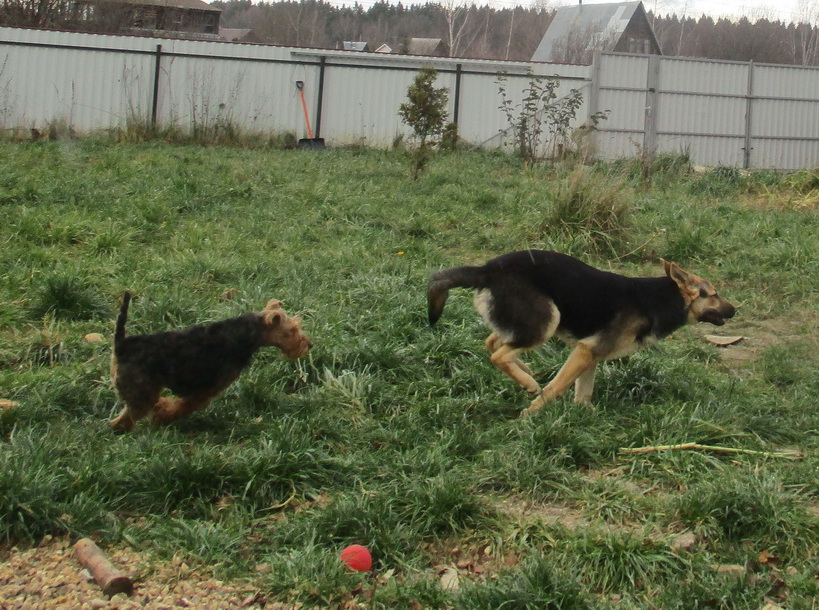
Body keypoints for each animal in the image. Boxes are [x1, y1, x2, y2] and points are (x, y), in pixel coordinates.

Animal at [109, 292, 312, 433]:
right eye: (292, 330)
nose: (309, 345)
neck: (244, 334)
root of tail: (122, 345)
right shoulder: (206, 390)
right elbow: (180, 407)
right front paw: (162, 417)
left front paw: (161, 411)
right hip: (141, 394)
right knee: (120, 421)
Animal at [428, 250, 735, 416]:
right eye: (714, 295)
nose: (734, 310)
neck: (660, 299)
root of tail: (487, 269)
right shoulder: (586, 351)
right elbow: (556, 387)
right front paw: (530, 414)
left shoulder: (590, 355)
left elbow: (582, 393)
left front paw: (587, 416)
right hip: (547, 322)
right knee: (499, 354)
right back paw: (528, 382)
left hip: (526, 322)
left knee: (492, 342)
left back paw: (524, 371)